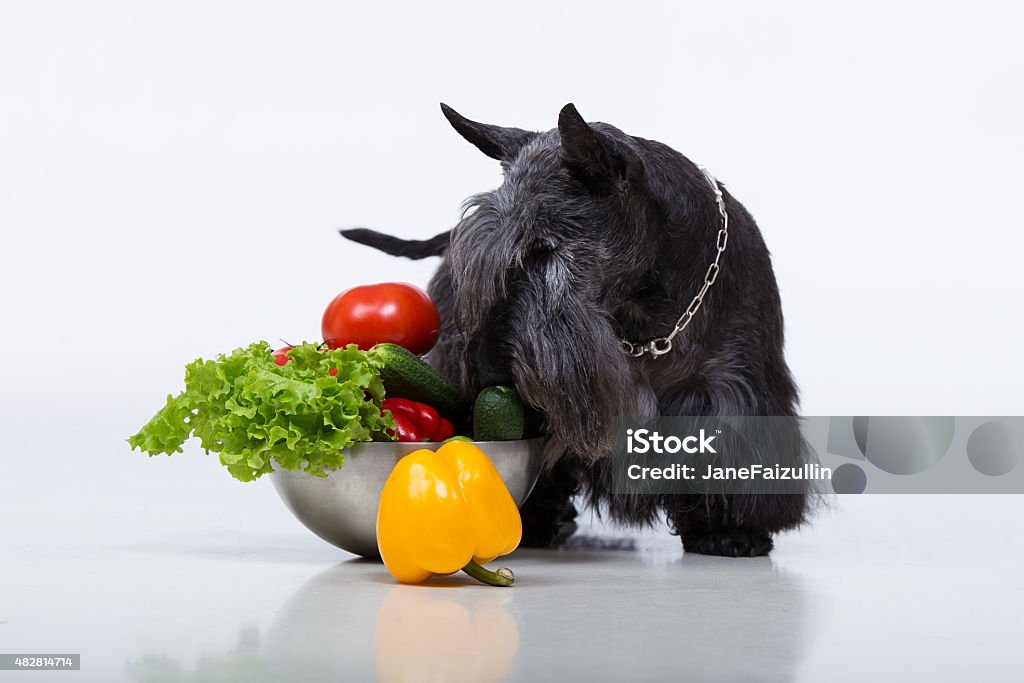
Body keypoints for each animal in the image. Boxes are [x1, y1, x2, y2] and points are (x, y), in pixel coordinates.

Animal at [342, 104, 806, 557]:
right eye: (479, 255)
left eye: (544, 249)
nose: (486, 374)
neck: (645, 313)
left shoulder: (733, 383)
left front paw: (728, 530)